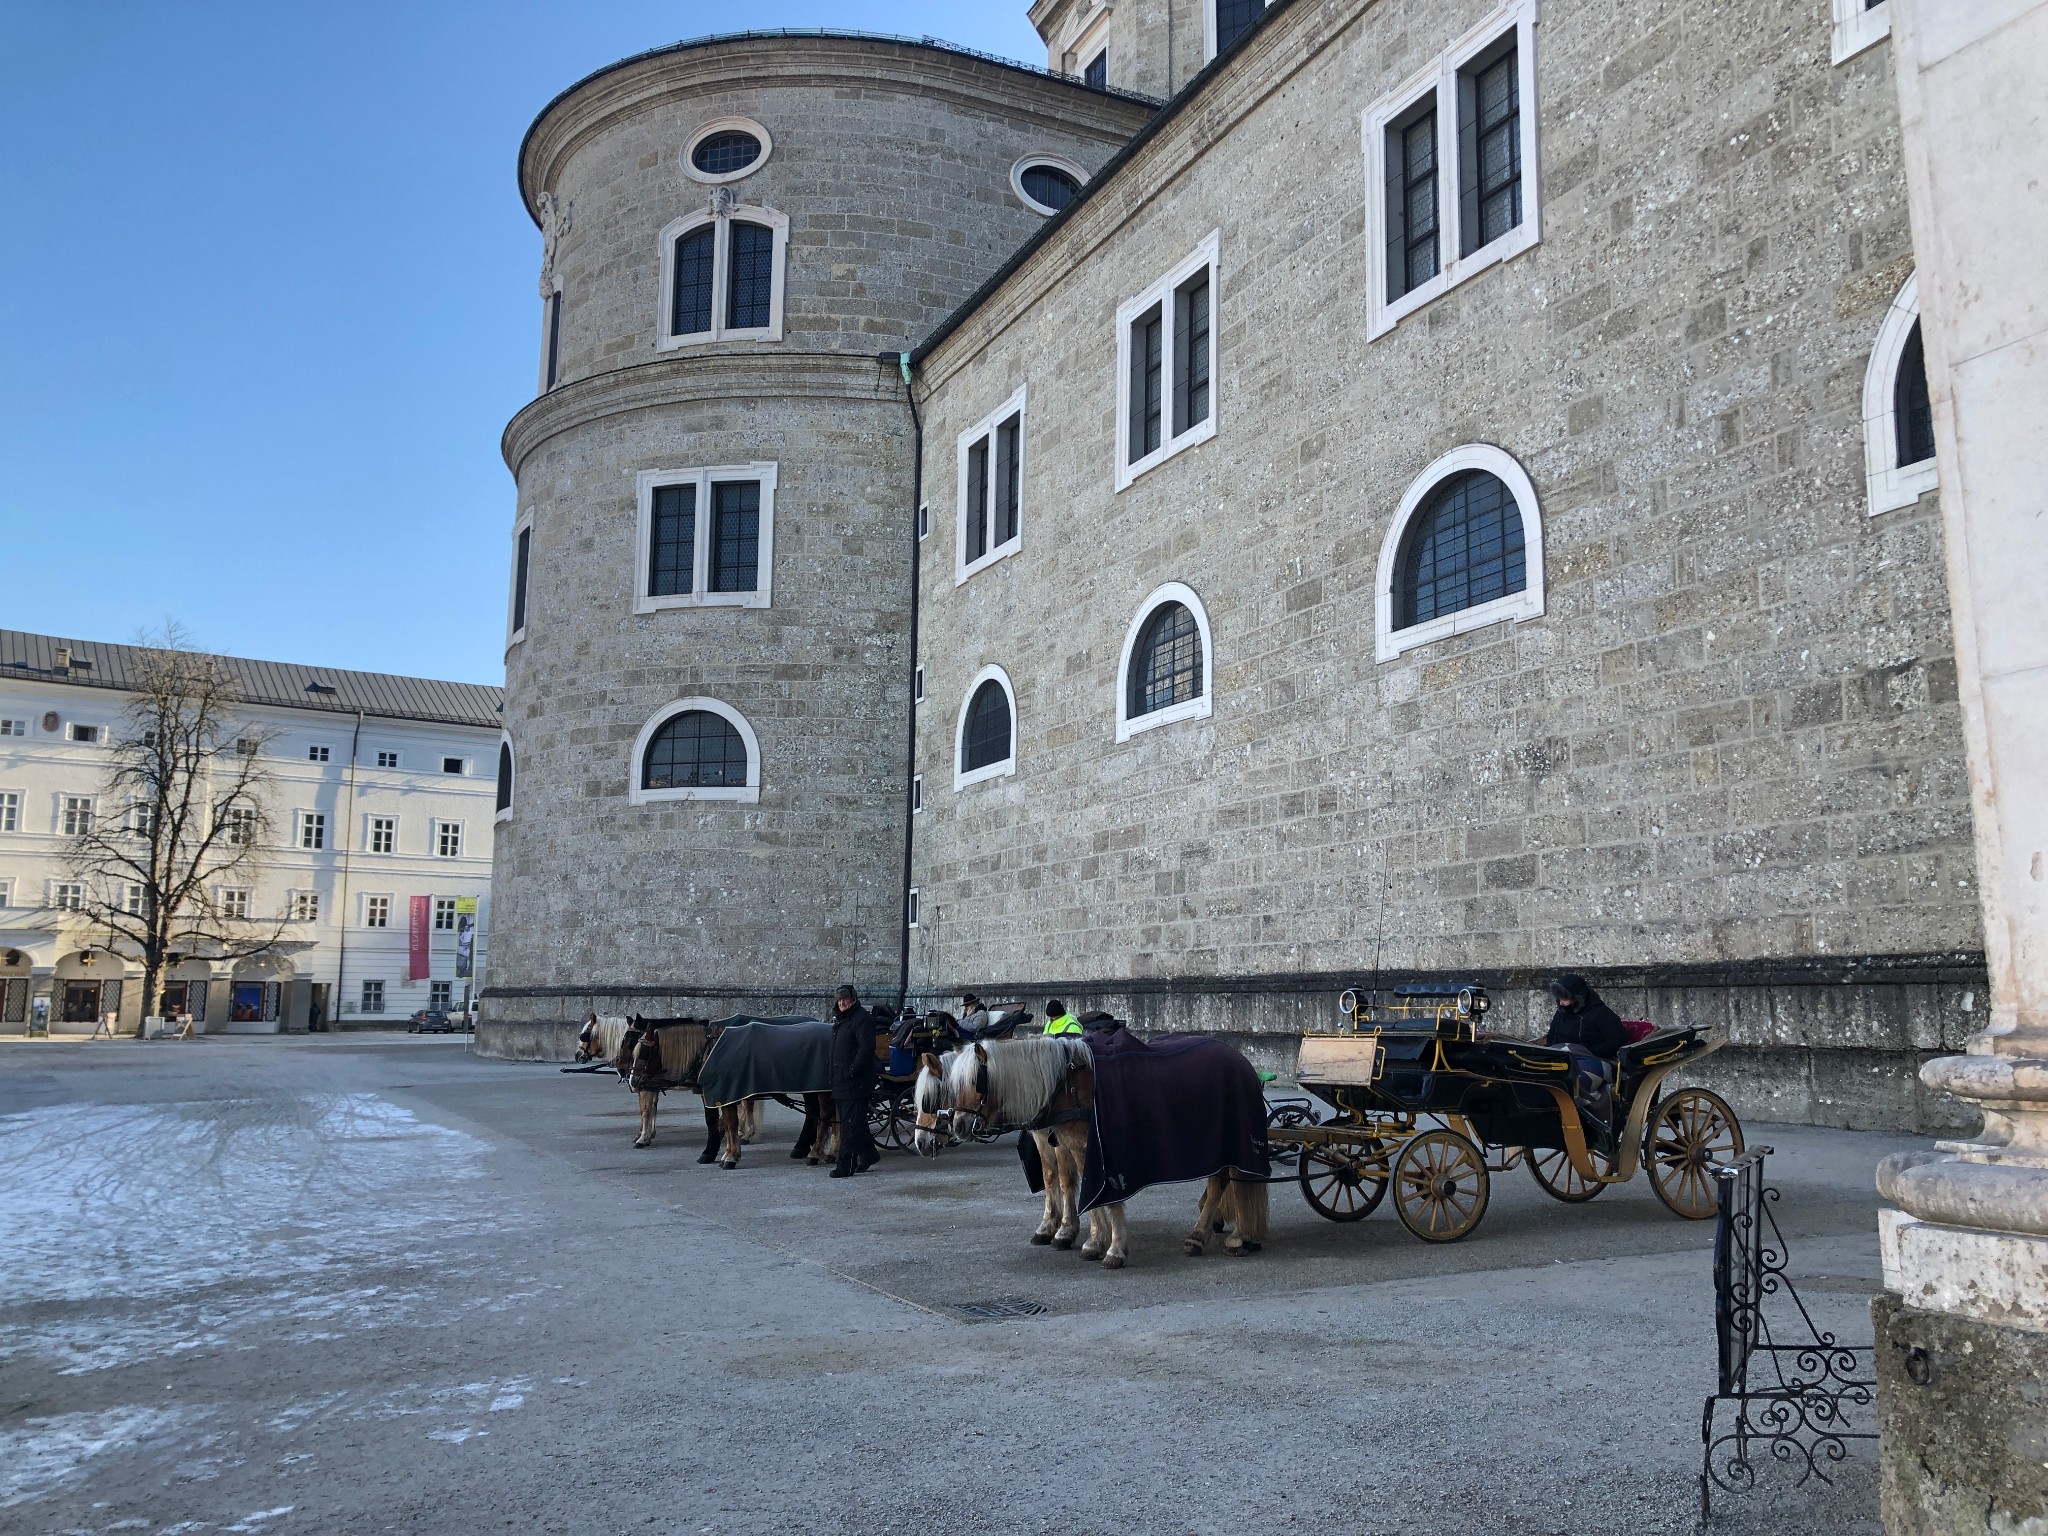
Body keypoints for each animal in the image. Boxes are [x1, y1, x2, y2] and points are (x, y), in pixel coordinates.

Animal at [909, 1036, 1261, 1277]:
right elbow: (1073, 1188)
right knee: (1222, 1183)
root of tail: (1240, 1058)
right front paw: (1086, 1237)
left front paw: (1108, 1246)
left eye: (974, 1082)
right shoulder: (1065, 1143)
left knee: (1222, 1184)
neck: (1062, 1085)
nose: (922, 1141)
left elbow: (1093, 1192)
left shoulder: (1095, 1149)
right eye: (955, 1086)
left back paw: (1212, 1235)